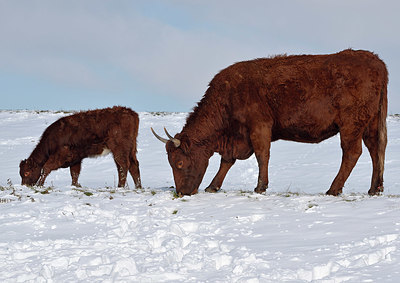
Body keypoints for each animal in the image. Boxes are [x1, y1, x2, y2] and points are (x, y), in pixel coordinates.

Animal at [153, 49, 388, 195]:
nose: (182, 192)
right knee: (376, 149)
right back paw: (374, 188)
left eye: (179, 163)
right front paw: (213, 186)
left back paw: (333, 189)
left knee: (352, 153)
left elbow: (262, 155)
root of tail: (376, 61)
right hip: (371, 124)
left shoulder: (259, 127)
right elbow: (227, 161)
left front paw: (260, 186)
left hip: (351, 125)